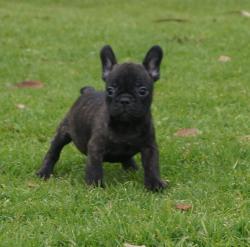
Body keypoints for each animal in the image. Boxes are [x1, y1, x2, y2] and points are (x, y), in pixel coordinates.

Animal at [37, 44, 167, 191]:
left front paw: (155, 183)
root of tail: (88, 91)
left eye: (142, 91)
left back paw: (132, 168)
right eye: (110, 90)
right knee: (53, 152)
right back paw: (44, 172)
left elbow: (152, 165)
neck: (126, 125)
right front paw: (95, 185)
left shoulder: (149, 147)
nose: (124, 100)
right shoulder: (95, 147)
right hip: (63, 133)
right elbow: (95, 168)